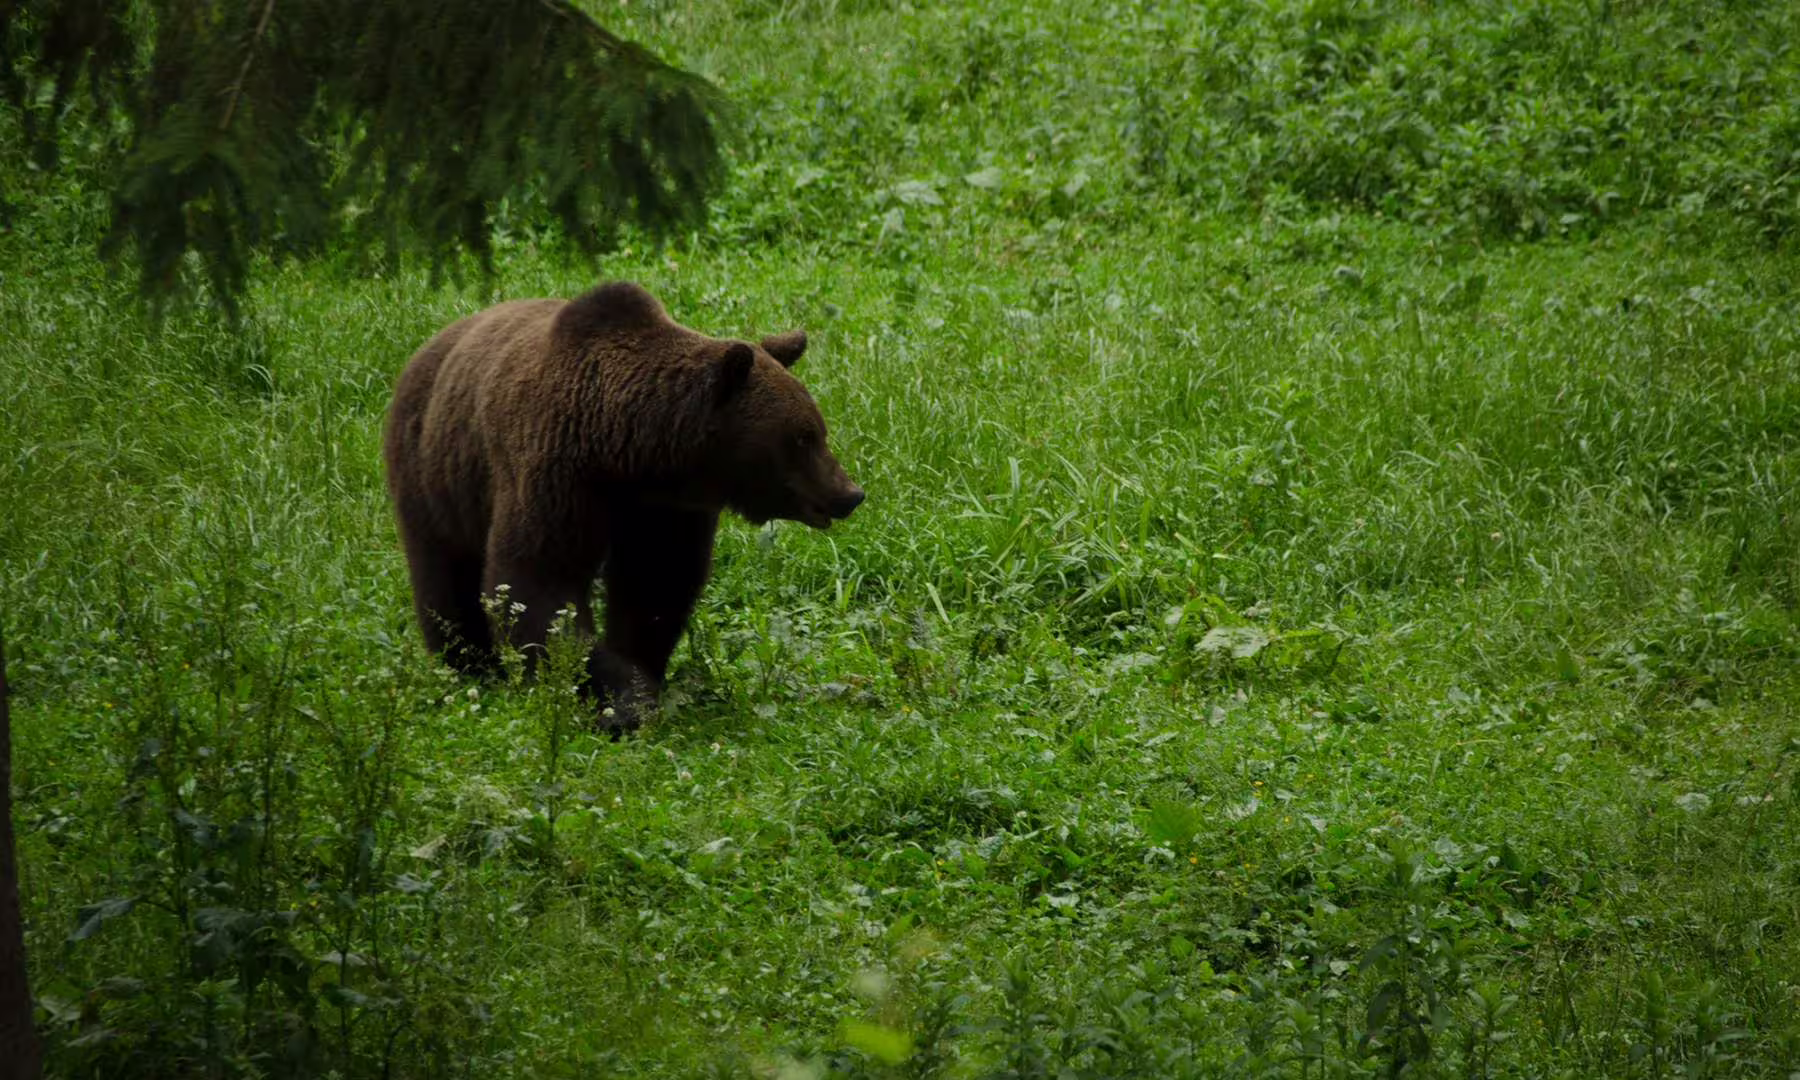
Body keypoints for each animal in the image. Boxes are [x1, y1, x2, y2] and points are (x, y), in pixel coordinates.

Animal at [382, 281, 864, 731]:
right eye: (802, 436)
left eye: (817, 429)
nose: (849, 493)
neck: (629, 452)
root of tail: (429, 346)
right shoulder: (557, 471)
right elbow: (536, 581)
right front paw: (622, 698)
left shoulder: (663, 508)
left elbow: (655, 582)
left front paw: (638, 674)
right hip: (435, 473)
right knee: (444, 576)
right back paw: (467, 664)